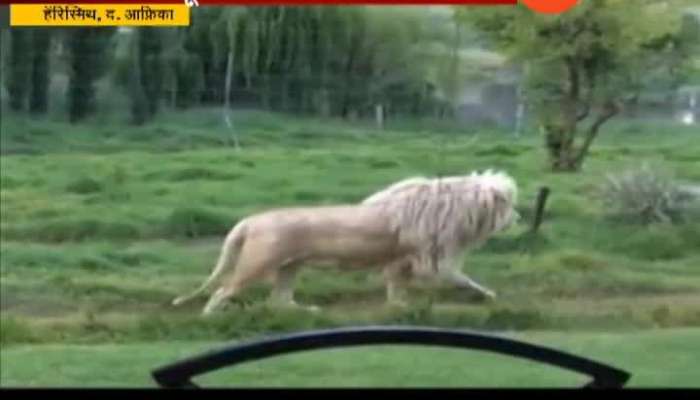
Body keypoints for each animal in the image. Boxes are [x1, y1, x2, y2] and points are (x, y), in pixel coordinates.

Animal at [172, 170, 516, 314]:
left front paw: (398, 306)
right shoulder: (432, 258)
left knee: (280, 300)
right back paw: (208, 318)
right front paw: (491, 296)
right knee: (222, 291)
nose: (518, 217)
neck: (460, 206)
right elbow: (462, 278)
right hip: (257, 265)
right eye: (509, 204)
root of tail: (249, 220)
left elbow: (396, 286)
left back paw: (307, 311)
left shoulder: (401, 260)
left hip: (289, 267)